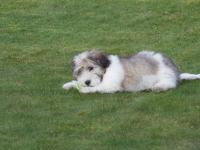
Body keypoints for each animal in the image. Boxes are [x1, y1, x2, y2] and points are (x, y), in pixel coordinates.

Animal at [63, 49, 200, 93]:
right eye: (79, 71)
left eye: (91, 68)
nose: (87, 82)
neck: (106, 70)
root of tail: (177, 73)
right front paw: (69, 84)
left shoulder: (110, 86)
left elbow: (97, 88)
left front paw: (85, 90)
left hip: (166, 76)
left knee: (170, 84)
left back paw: (158, 87)